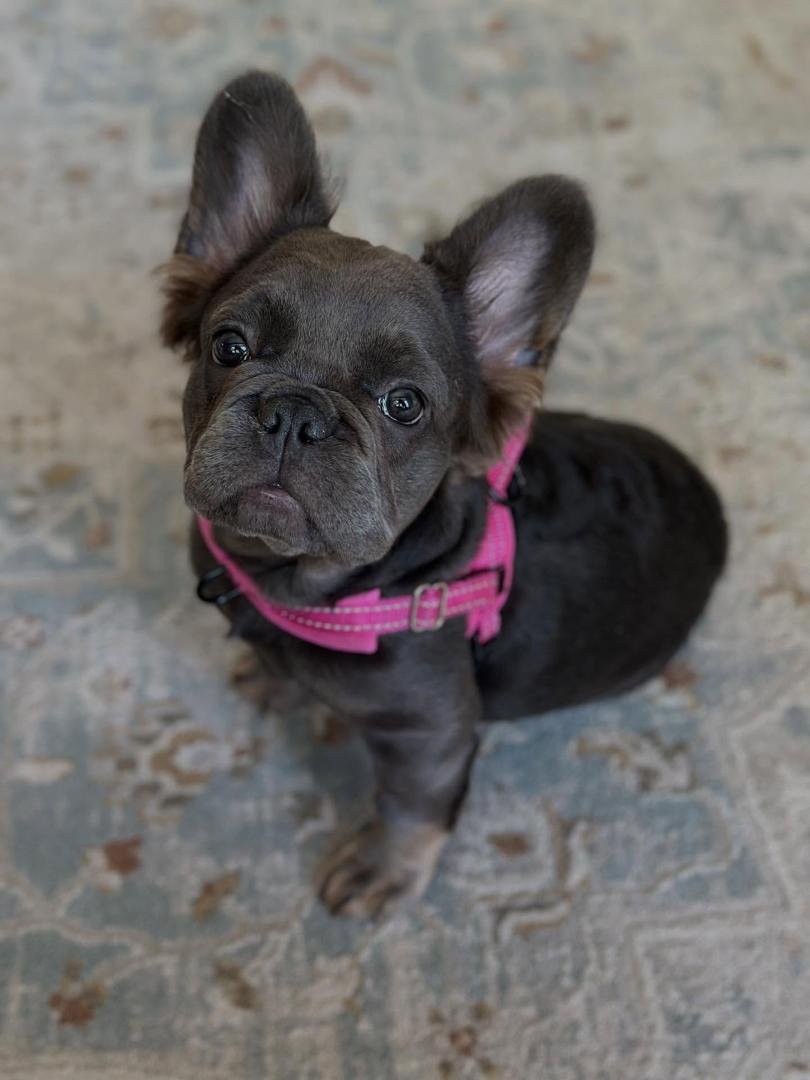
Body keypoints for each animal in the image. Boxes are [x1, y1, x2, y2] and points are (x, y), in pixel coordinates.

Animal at [160, 71, 727, 917]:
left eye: (404, 404)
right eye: (230, 347)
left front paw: (382, 869)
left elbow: (410, 807)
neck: (301, 580)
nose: (295, 413)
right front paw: (270, 676)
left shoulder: (428, 735)